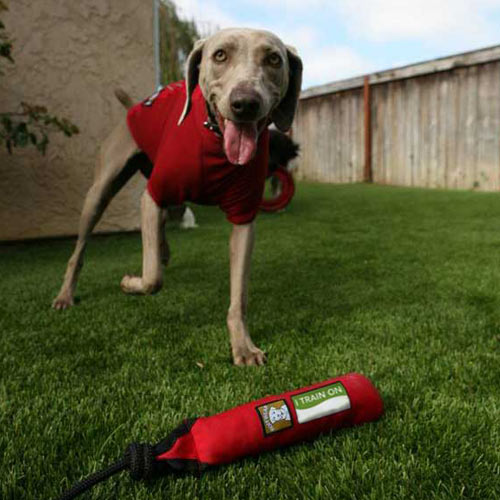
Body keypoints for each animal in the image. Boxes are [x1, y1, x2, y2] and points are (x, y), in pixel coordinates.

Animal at [51, 29, 300, 366]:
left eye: (274, 59)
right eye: (219, 55)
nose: (245, 103)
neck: (214, 138)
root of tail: (134, 106)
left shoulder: (244, 218)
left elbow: (239, 296)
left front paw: (243, 346)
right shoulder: (153, 194)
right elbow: (152, 278)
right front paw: (130, 284)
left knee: (167, 219)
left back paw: (163, 249)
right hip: (101, 191)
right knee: (79, 250)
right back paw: (65, 295)